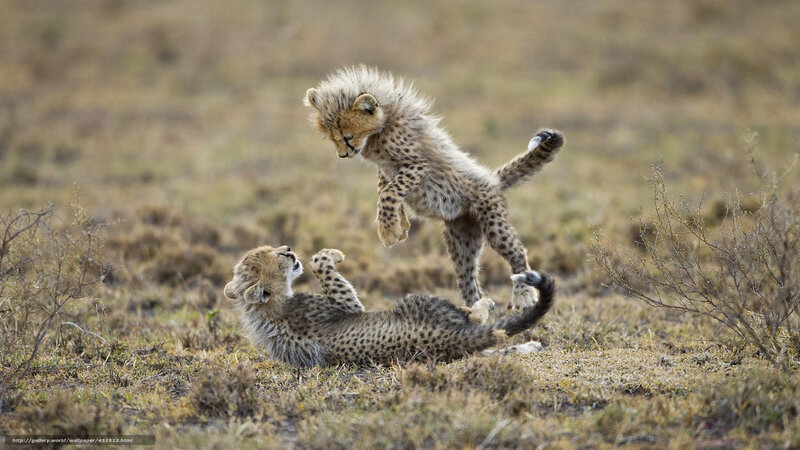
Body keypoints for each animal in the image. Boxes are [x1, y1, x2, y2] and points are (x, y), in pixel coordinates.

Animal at [223, 245, 556, 367]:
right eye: (277, 256)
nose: (289, 250)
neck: (270, 309)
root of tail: (444, 340)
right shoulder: (348, 306)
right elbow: (321, 264)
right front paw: (333, 254)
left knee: (493, 347)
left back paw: (530, 346)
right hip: (417, 301)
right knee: (476, 321)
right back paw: (483, 303)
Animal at [304, 65, 564, 309]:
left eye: (347, 136)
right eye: (331, 138)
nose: (343, 154)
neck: (382, 126)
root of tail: (492, 179)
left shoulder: (419, 165)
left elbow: (390, 192)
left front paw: (388, 231)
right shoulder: (387, 169)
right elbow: (385, 188)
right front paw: (400, 226)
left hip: (493, 222)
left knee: (517, 252)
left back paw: (523, 294)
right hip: (462, 242)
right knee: (469, 281)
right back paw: (475, 311)